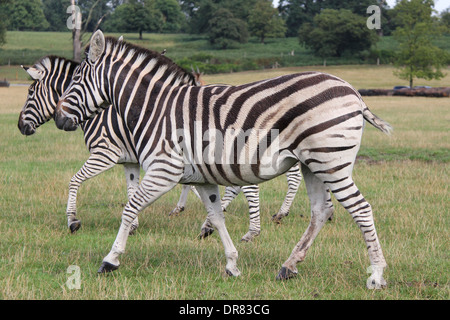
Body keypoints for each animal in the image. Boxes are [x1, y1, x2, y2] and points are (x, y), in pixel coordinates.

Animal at [16, 55, 298, 241]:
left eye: (30, 92)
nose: (20, 126)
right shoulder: (130, 160)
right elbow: (132, 191)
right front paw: (132, 225)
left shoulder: (105, 153)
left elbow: (74, 180)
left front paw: (73, 220)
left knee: (250, 186)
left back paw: (252, 228)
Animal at [52, 31, 392, 288]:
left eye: (76, 79)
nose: (58, 119)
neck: (155, 109)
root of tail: (353, 92)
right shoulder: (201, 178)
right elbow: (216, 217)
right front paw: (232, 265)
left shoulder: (164, 169)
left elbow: (129, 208)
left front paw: (110, 260)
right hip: (313, 165)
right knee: (321, 211)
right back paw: (289, 266)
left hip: (330, 163)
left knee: (361, 208)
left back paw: (376, 275)